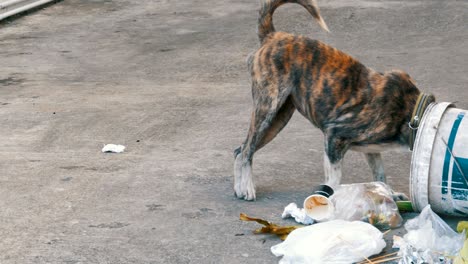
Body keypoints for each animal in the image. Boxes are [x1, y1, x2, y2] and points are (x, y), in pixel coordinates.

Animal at [234, 0, 436, 200]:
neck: (412, 111)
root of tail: (273, 36)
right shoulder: (334, 136)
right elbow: (334, 179)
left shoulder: (371, 149)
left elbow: (380, 175)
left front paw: (389, 195)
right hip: (267, 111)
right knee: (246, 152)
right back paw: (247, 188)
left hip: (278, 119)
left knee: (239, 150)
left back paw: (239, 188)